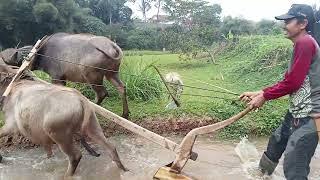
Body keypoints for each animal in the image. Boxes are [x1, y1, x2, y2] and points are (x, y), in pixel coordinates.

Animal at [0, 32, 130, 119]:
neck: (42, 52)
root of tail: (112, 46)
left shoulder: (56, 77)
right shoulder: (62, 79)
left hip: (93, 76)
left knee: (102, 93)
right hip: (111, 74)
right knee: (121, 87)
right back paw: (125, 114)